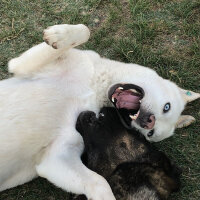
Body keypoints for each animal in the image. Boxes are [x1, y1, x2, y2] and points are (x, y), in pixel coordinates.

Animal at [0, 24, 199, 199]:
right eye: (167, 107)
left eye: (148, 134)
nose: (148, 122)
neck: (94, 89)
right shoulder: (20, 65)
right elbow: (85, 30)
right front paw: (58, 35)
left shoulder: (55, 156)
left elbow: (99, 183)